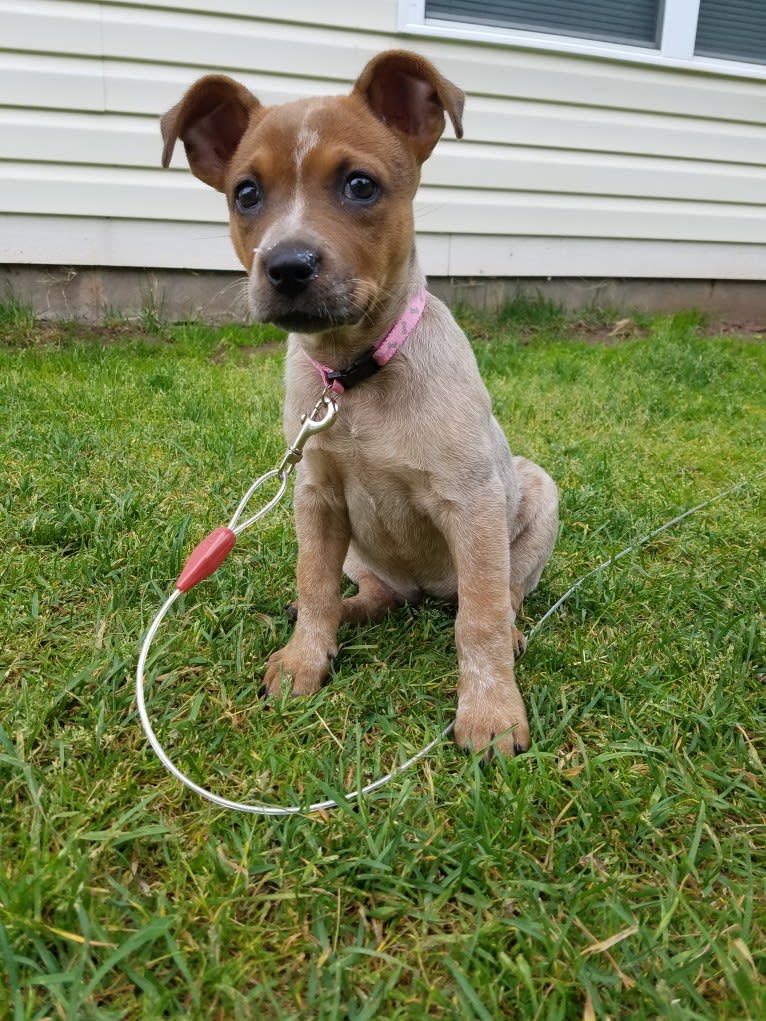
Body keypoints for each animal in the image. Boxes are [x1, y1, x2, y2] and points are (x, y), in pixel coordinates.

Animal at [160, 49, 559, 759]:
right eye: (246, 193)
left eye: (360, 186)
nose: (287, 265)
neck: (355, 376)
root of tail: (425, 589)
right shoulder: (316, 498)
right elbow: (313, 584)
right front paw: (304, 659)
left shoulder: (474, 501)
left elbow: (480, 620)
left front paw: (490, 712)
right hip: (359, 550)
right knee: (374, 594)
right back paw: (348, 613)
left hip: (537, 496)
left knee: (503, 595)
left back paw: (509, 629)